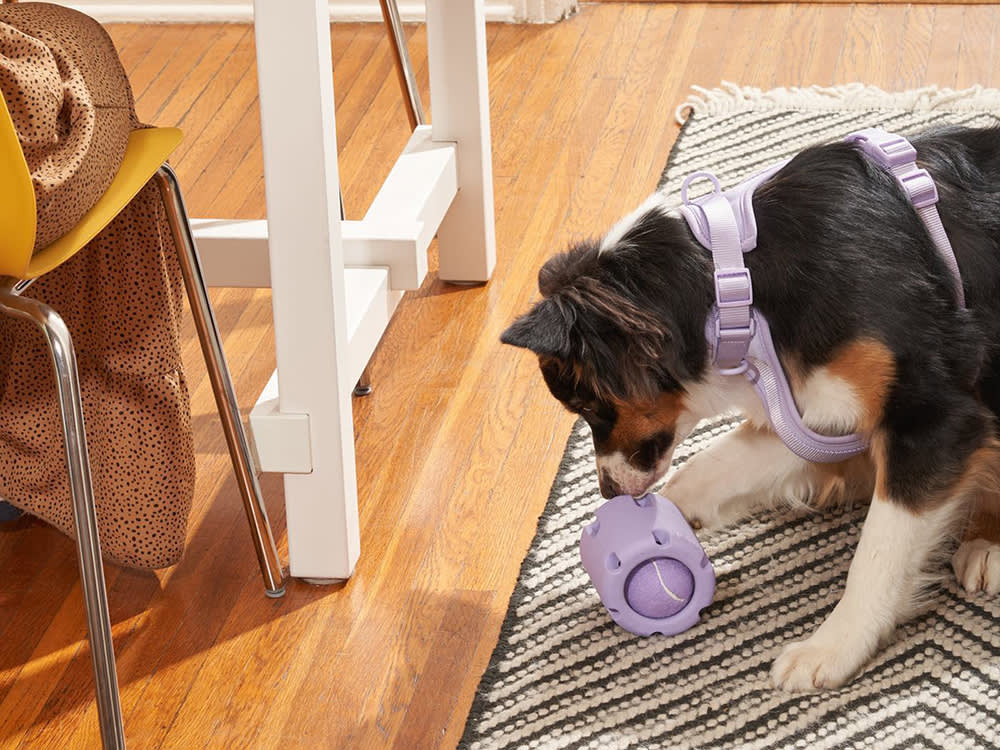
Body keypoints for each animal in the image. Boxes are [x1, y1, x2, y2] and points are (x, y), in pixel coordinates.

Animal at [504, 125, 1000, 692]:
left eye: (586, 403)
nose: (609, 493)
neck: (737, 287)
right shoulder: (821, 410)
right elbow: (709, 469)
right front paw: (670, 519)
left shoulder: (933, 416)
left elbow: (880, 549)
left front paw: (831, 647)